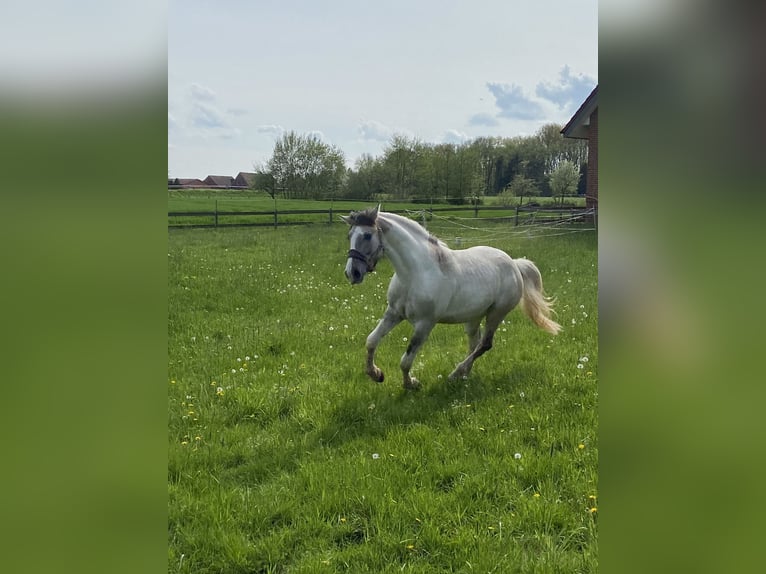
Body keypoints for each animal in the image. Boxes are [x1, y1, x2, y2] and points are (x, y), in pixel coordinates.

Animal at [342, 206, 564, 392]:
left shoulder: (425, 324)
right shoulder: (394, 313)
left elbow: (406, 360)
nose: (352, 273)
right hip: (474, 317)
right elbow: (371, 340)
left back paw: (455, 374)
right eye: (349, 235)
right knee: (475, 343)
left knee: (485, 344)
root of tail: (514, 265)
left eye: (367, 235)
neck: (415, 274)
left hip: (496, 313)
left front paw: (411, 384)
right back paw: (464, 374)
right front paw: (376, 374)